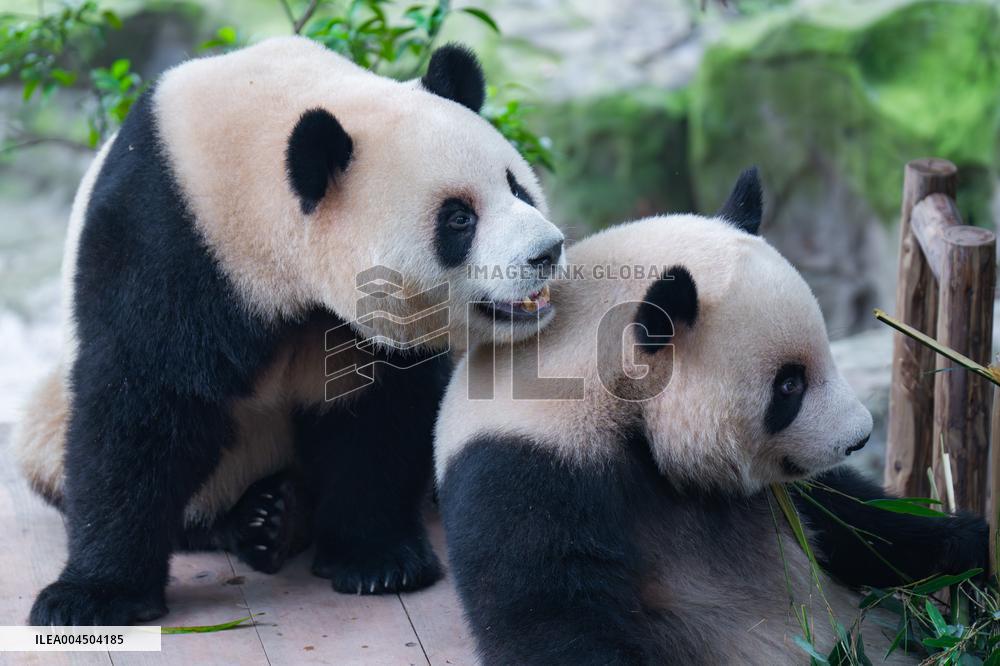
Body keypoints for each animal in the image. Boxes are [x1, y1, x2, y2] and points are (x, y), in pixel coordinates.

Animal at [12, 36, 564, 626]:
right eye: (459, 219)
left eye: (517, 188)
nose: (547, 252)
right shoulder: (163, 236)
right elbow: (140, 405)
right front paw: (91, 597)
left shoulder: (344, 320)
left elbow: (376, 411)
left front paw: (377, 561)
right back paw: (259, 520)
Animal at [435, 169, 987, 665]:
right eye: (789, 385)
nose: (858, 438)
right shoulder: (526, 470)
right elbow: (553, 620)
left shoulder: (781, 491)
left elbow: (851, 519)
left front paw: (970, 550)